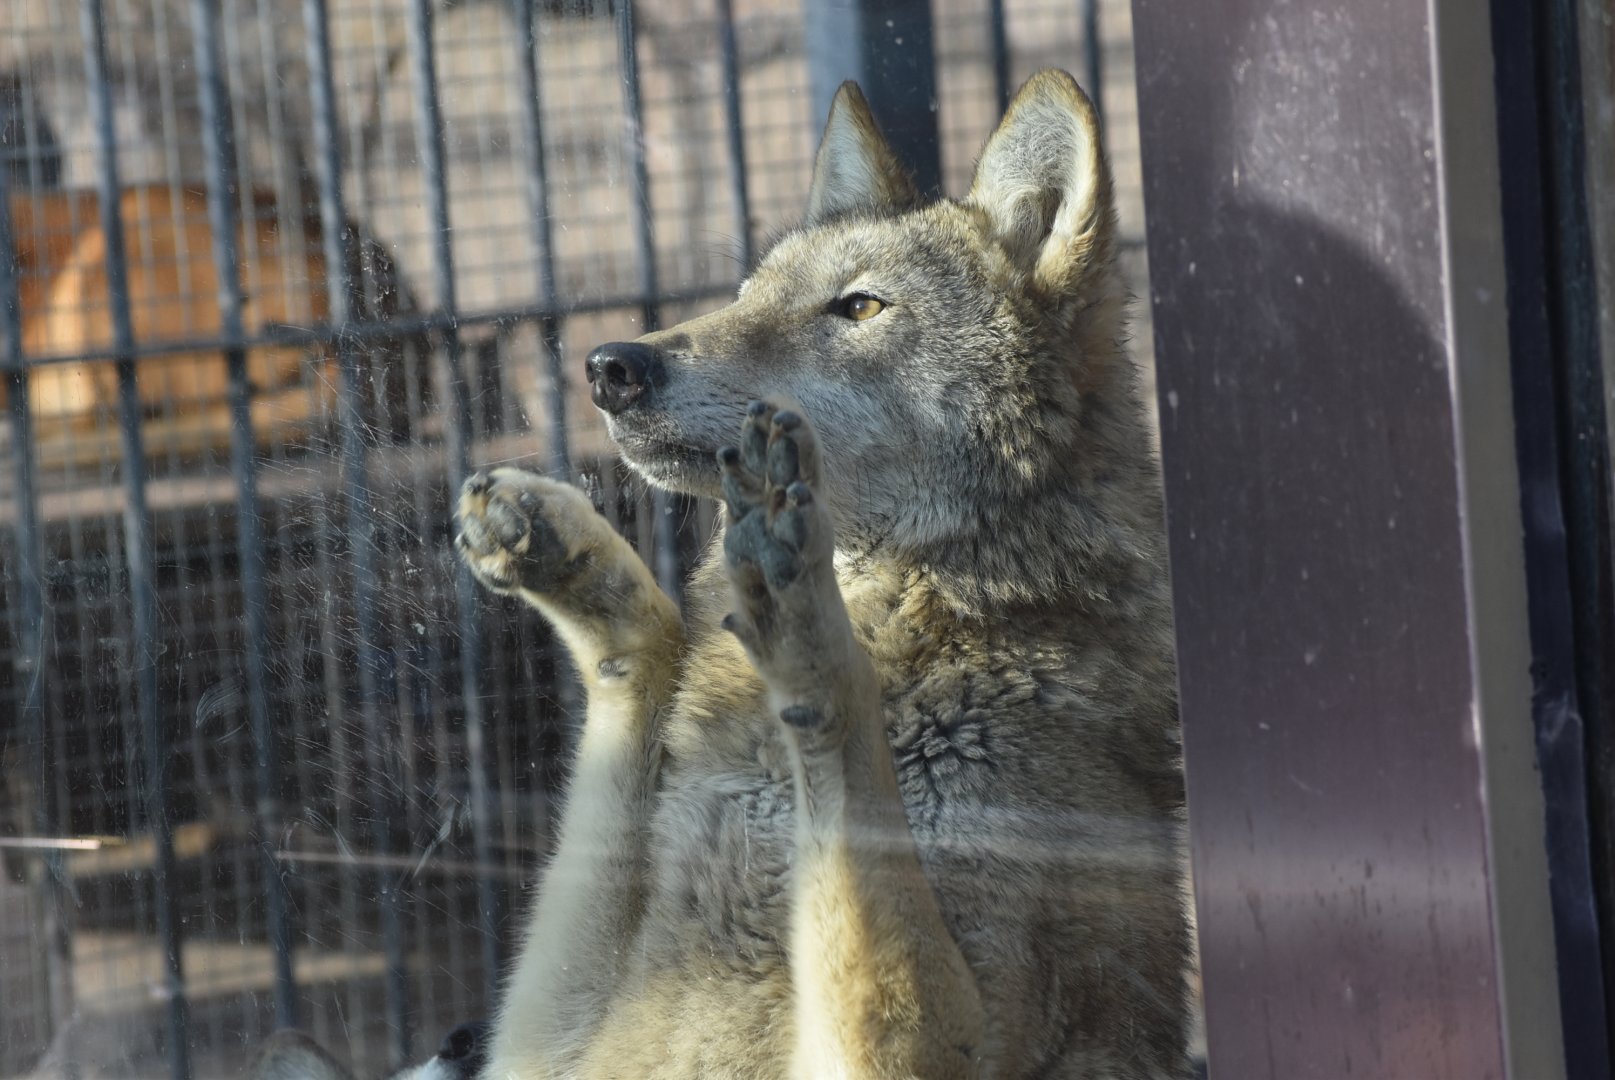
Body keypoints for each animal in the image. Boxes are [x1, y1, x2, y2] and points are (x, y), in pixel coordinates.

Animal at [256, 69, 1188, 1079]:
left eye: (858, 308)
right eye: (742, 299)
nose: (610, 366)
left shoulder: (934, 1050)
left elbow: (852, 795)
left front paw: (809, 622)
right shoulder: (540, 1048)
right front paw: (568, 549)